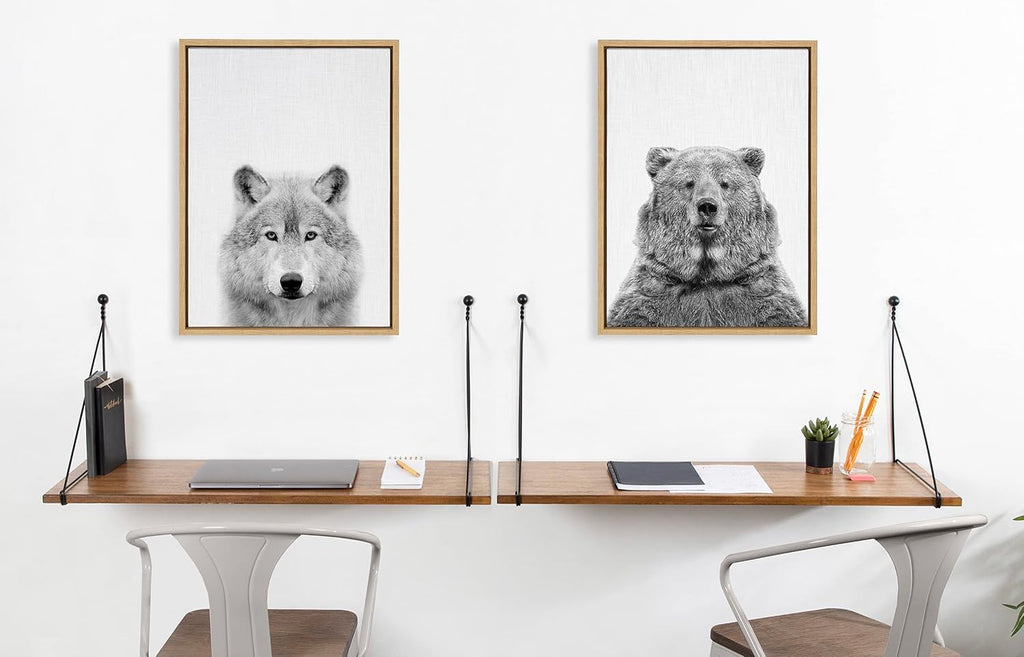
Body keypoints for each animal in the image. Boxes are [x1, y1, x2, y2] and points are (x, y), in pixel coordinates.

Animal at [607, 146, 807, 328]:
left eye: (725, 183)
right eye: (689, 183)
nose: (708, 206)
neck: (707, 277)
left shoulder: (764, 291)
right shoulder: (649, 293)